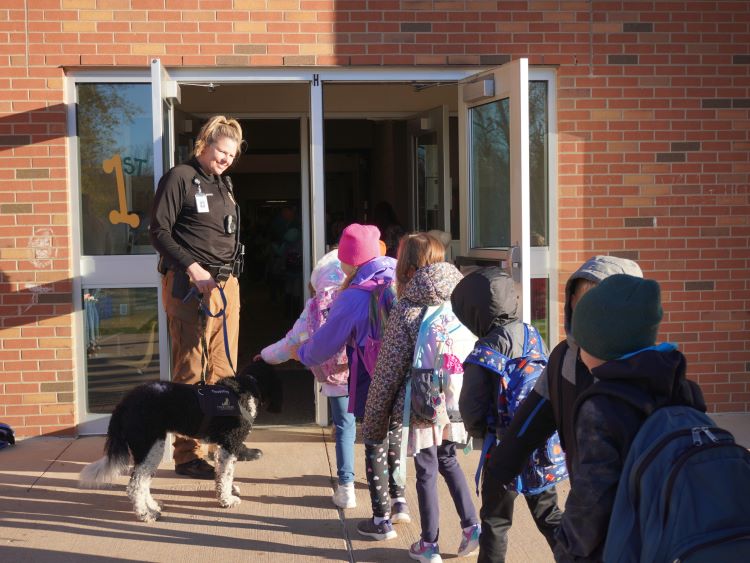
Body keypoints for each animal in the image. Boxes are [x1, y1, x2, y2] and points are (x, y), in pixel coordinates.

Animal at [80, 362, 282, 524]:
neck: (246, 386)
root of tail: (123, 404)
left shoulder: (221, 448)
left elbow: (221, 474)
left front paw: (225, 494)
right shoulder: (230, 445)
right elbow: (226, 475)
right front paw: (227, 500)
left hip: (151, 449)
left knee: (143, 481)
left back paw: (153, 506)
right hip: (150, 447)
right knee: (135, 485)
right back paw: (146, 515)